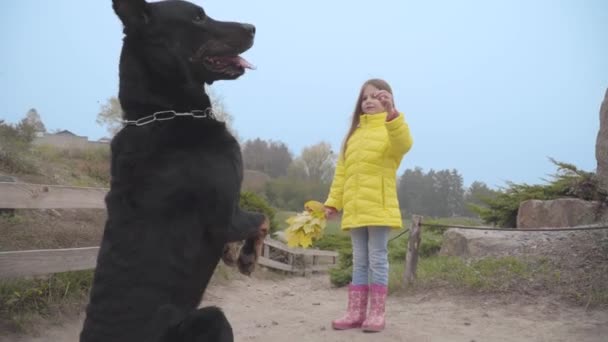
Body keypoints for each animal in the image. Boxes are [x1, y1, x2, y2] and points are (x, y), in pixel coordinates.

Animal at [81, 1, 268, 340]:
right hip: (212, 319)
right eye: (198, 16)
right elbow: (262, 219)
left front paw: (232, 253)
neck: (160, 112)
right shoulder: (225, 215)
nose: (252, 28)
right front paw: (248, 255)